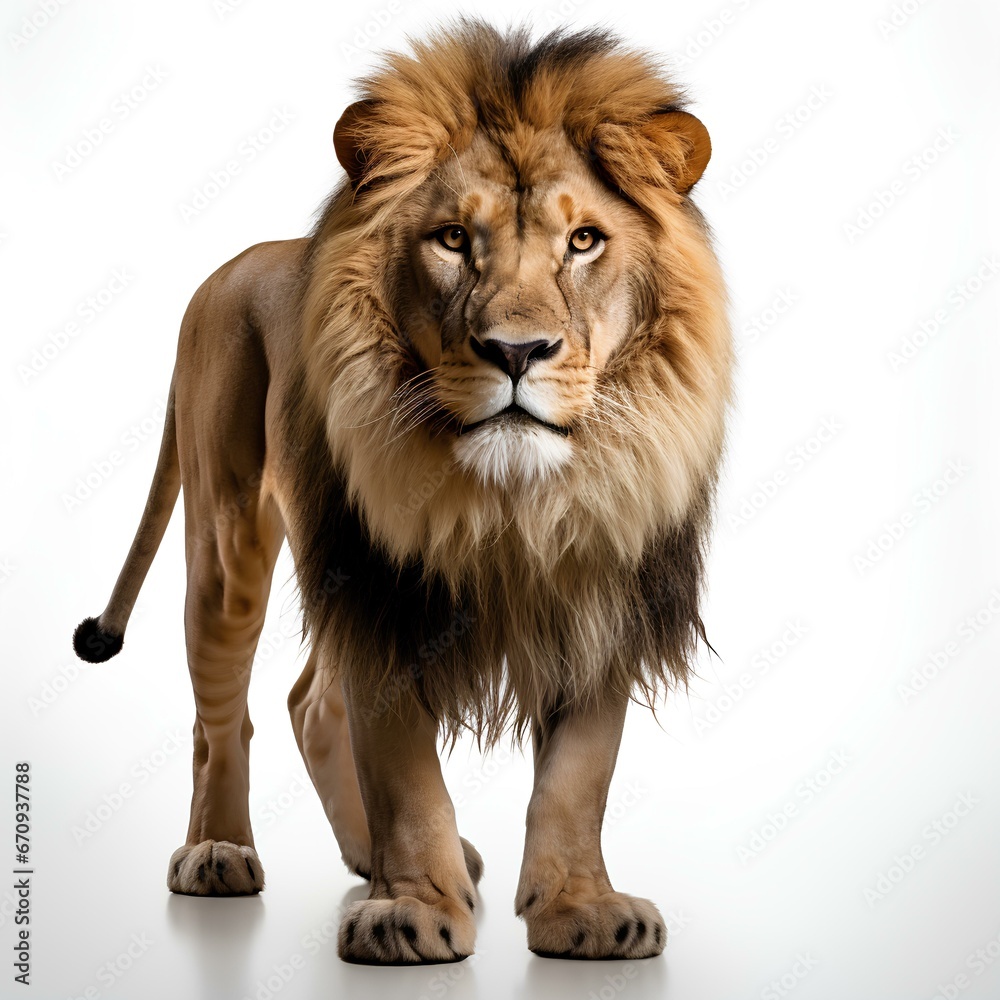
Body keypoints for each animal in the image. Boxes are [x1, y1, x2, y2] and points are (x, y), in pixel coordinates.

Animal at [73, 21, 731, 964]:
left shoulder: (600, 591)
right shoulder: (381, 594)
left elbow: (578, 776)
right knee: (222, 714)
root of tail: (236, 265)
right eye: (453, 239)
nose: (517, 351)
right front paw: (411, 910)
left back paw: (366, 859)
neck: (512, 503)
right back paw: (219, 852)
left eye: (584, 242)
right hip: (228, 536)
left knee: (310, 702)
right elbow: (406, 775)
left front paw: (583, 910)